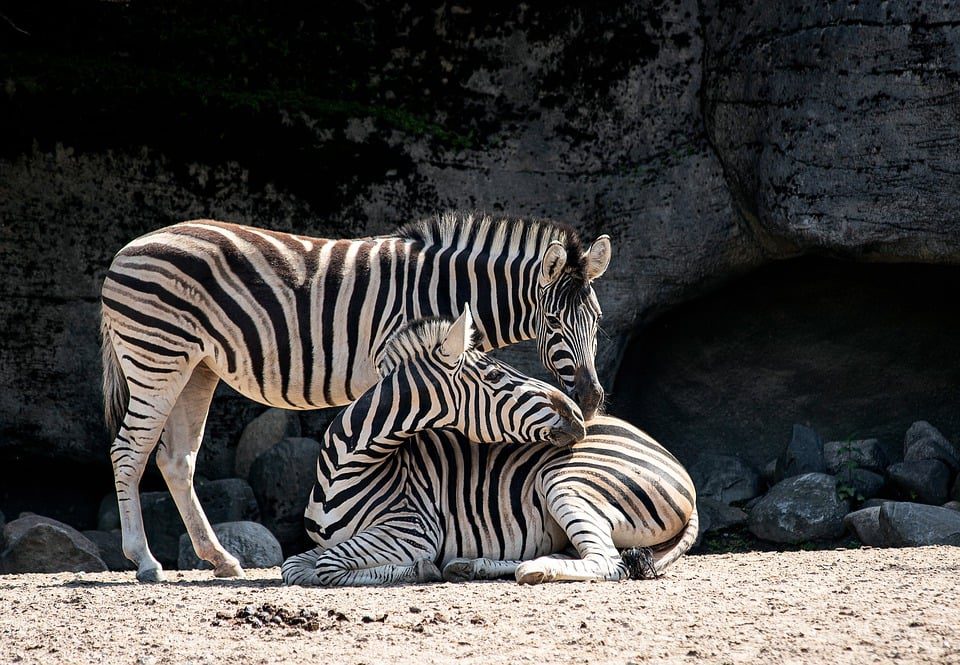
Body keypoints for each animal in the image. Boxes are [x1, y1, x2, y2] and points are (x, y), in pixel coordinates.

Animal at [97, 210, 608, 580]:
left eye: (598, 319)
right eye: (553, 322)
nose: (589, 400)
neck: (447, 288)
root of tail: (126, 251)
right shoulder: (398, 362)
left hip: (196, 366)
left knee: (176, 459)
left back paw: (220, 559)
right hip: (157, 356)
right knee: (128, 451)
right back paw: (145, 561)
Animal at [282, 308, 692, 584]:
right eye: (495, 375)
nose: (579, 413)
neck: (345, 467)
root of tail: (676, 464)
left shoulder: (413, 530)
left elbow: (327, 567)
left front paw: (418, 568)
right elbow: (294, 567)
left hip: (566, 481)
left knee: (607, 561)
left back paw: (532, 569)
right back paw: (472, 564)